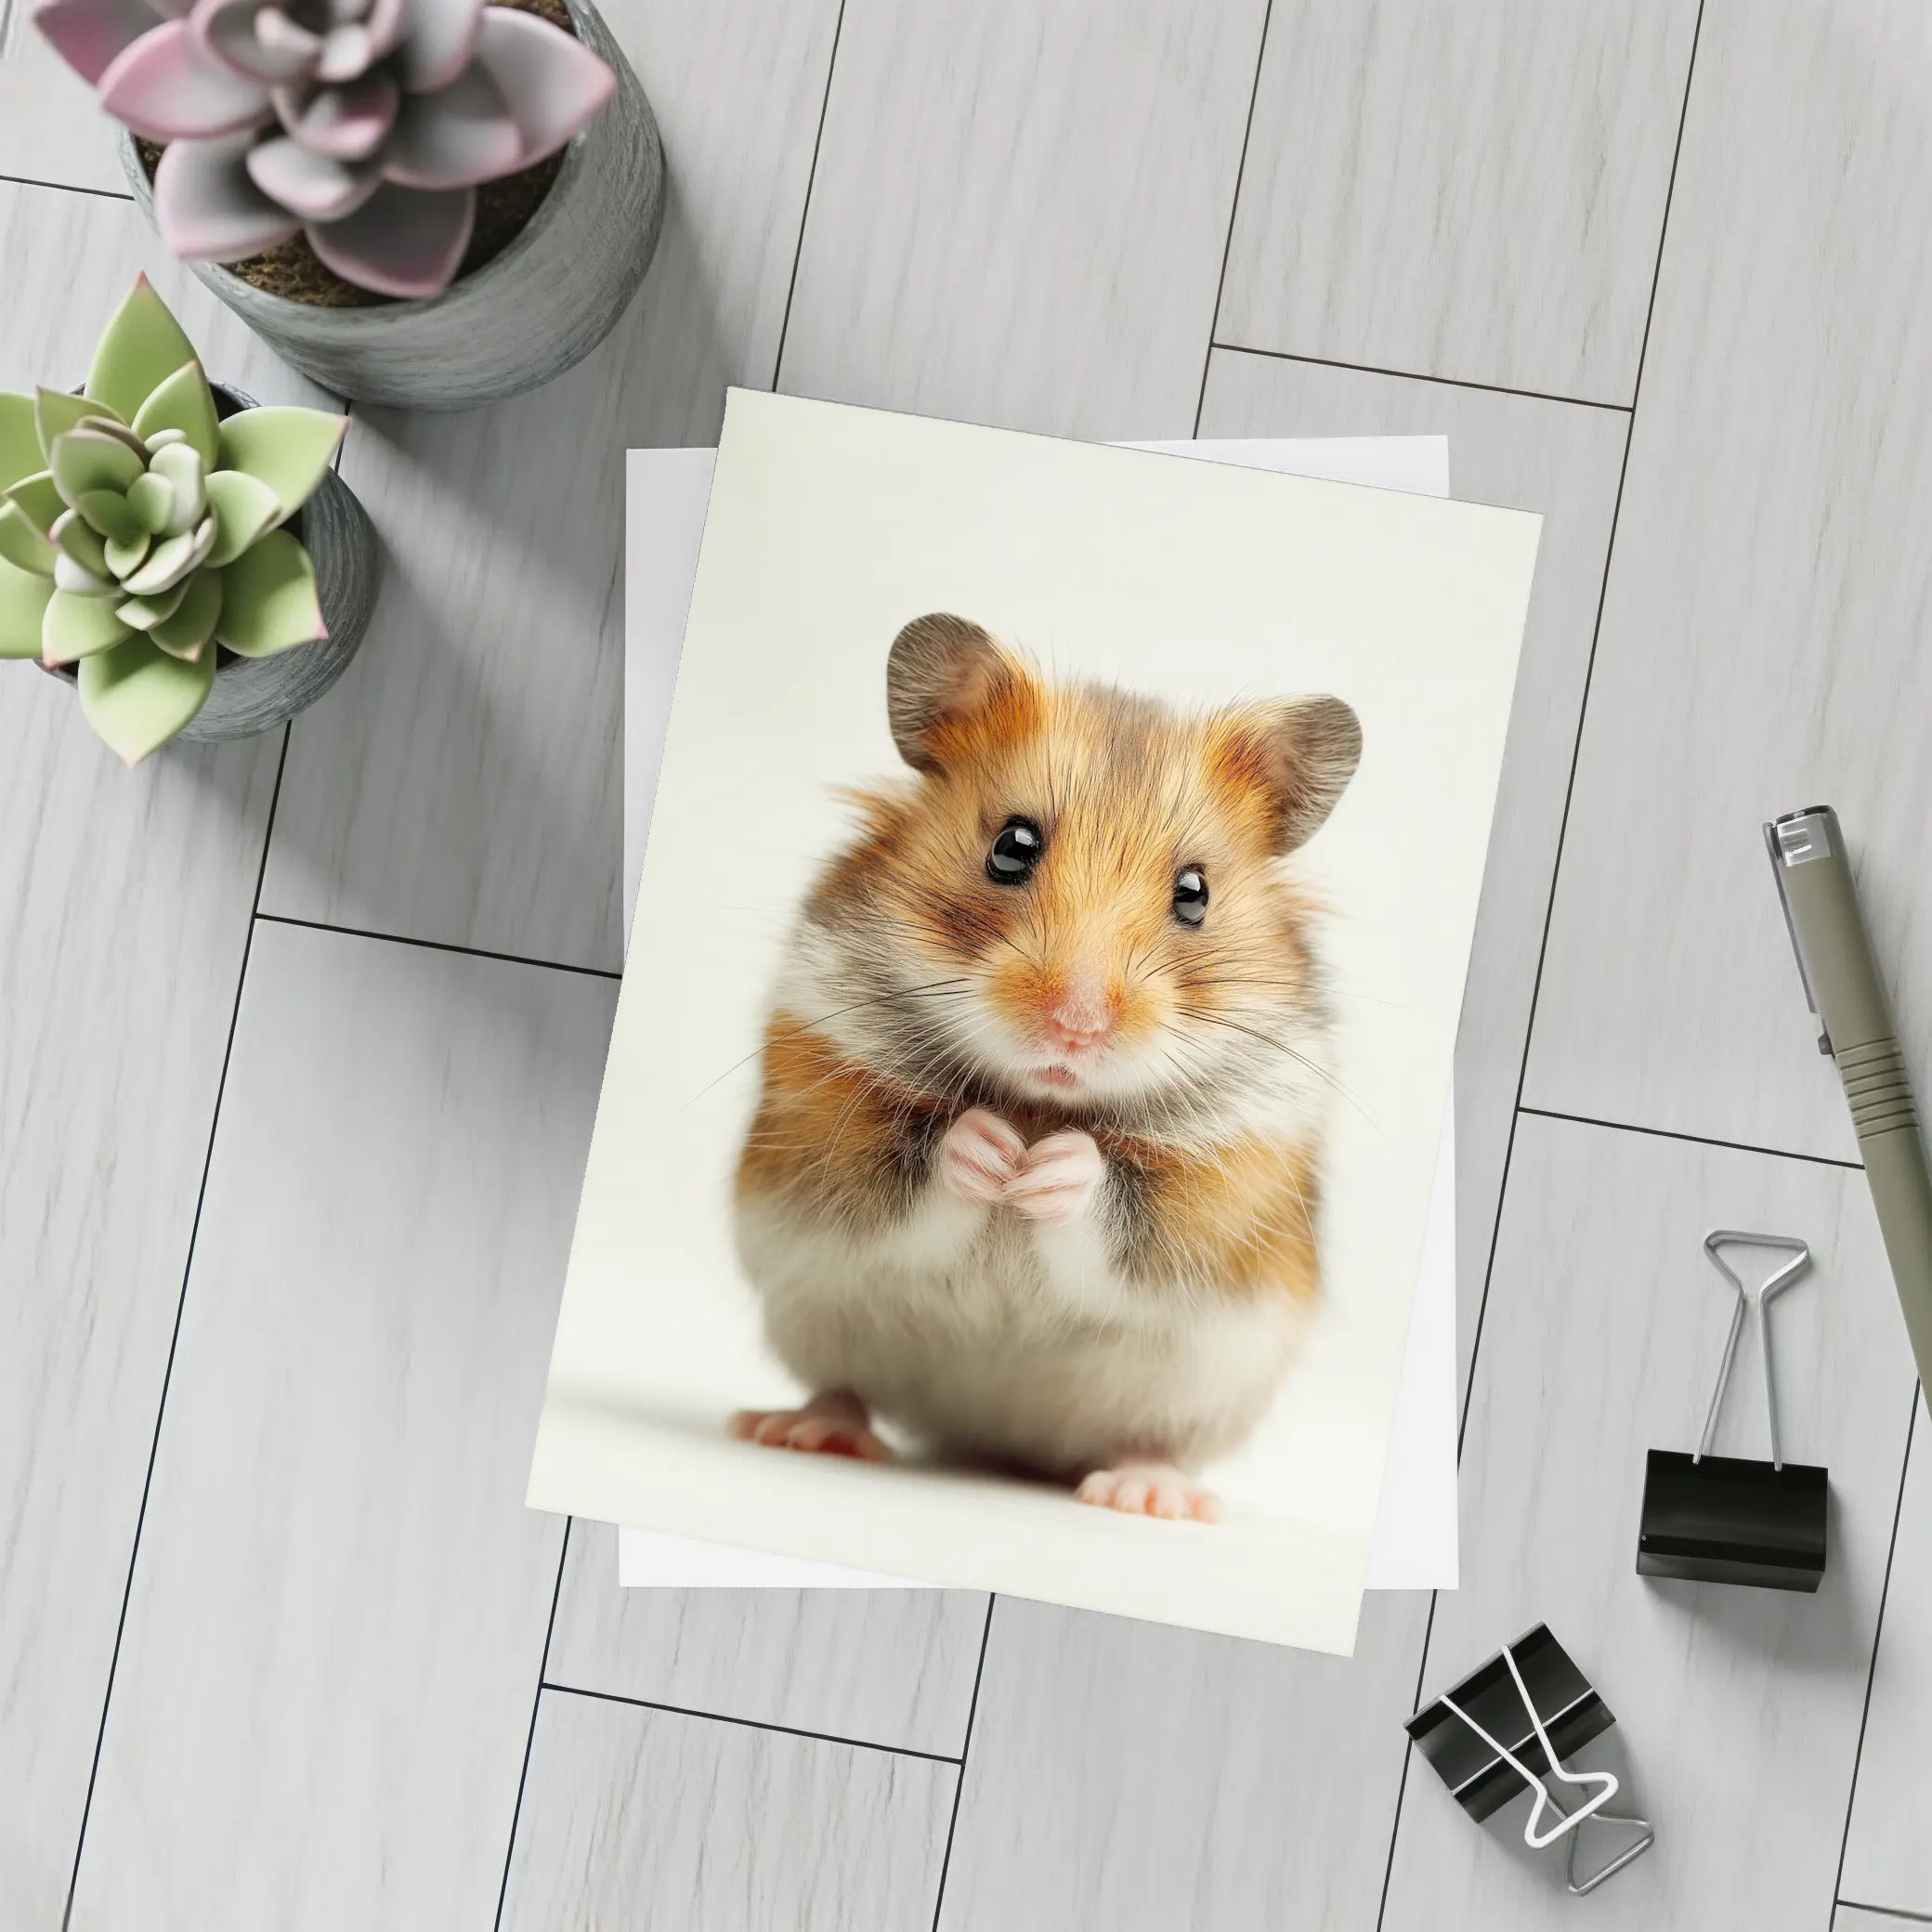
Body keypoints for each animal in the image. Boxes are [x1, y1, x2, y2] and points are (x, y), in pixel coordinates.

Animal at [729, 613, 1362, 1522]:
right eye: (1011, 846)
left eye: (1195, 892)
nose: (1076, 1024)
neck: (1039, 1102)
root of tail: (993, 1437)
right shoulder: (822, 1142)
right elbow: (914, 1172)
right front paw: (991, 1151)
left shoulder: (1217, 1208)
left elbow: (1114, 1211)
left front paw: (1051, 1166)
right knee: (843, 1388)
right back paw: (802, 1431)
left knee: (1150, 1439)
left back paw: (1149, 1495)